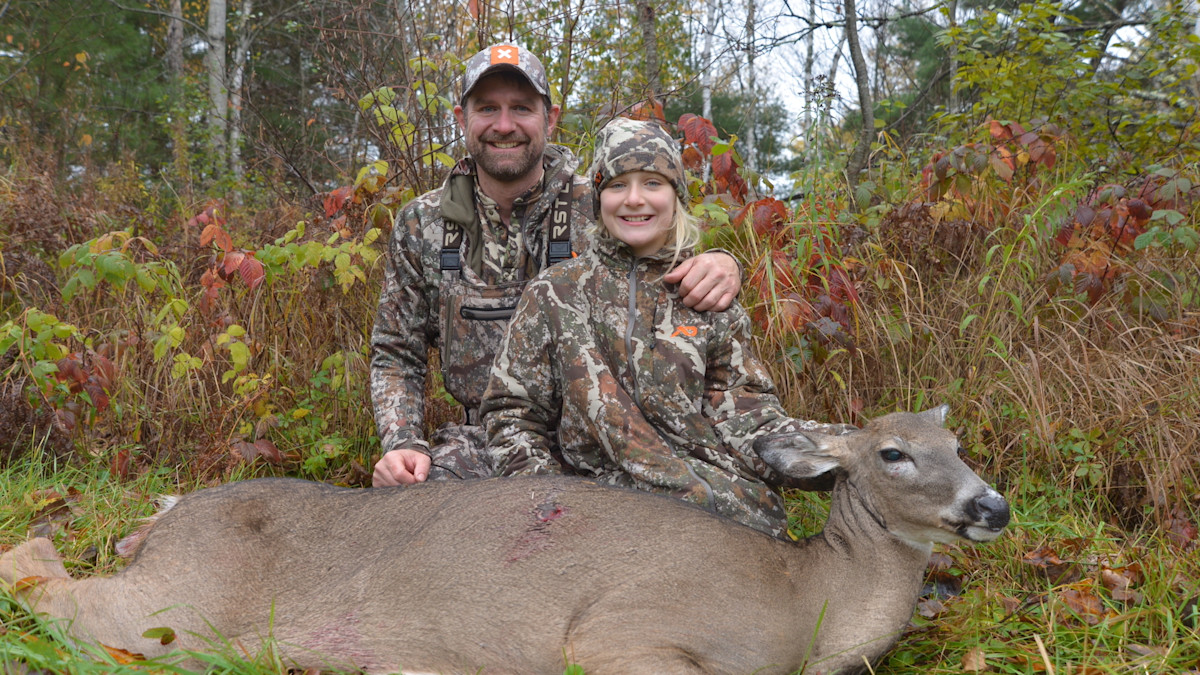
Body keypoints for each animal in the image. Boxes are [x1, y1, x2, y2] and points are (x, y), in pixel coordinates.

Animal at [1, 405, 1009, 674]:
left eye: (962, 443)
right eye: (894, 452)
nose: (992, 506)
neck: (807, 606)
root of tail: (168, 514)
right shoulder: (620, 631)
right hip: (179, 605)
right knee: (44, 574)